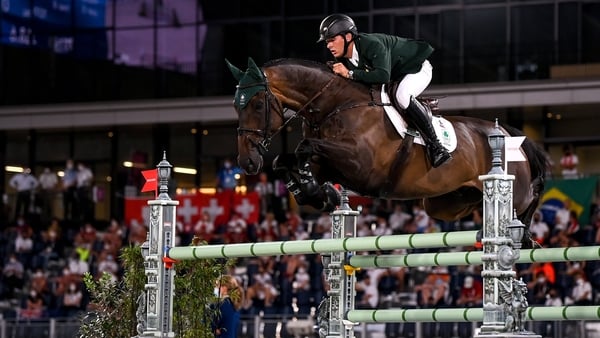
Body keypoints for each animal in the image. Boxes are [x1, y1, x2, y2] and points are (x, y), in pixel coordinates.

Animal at [225, 57, 548, 227]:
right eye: (236, 107)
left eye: (256, 105)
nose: (247, 162)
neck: (335, 105)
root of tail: (512, 136)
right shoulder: (330, 163)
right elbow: (285, 160)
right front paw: (316, 193)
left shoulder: (361, 166)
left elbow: (303, 149)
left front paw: (314, 189)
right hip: (445, 202)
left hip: (514, 192)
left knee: (525, 204)